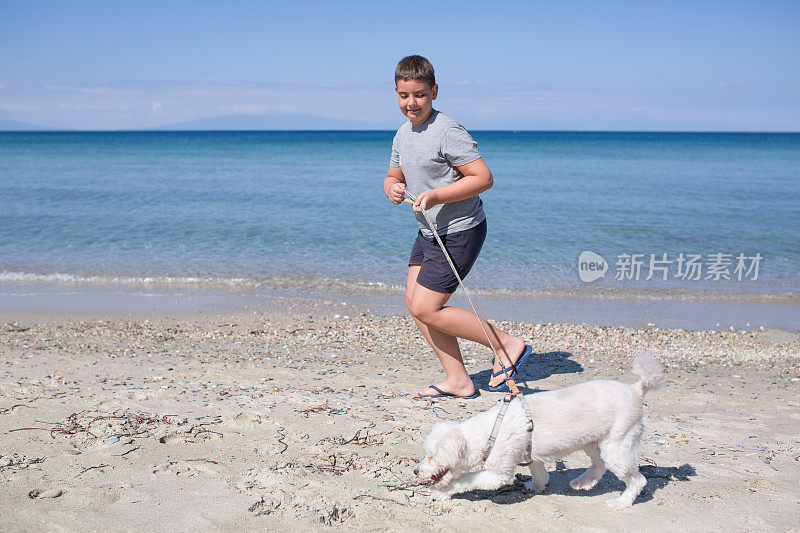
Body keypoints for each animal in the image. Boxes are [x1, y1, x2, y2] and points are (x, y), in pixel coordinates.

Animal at [416, 354, 664, 508]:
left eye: (432, 456)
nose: (416, 471)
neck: (490, 430)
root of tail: (635, 389)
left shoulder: (497, 474)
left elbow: (464, 481)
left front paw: (441, 491)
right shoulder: (531, 456)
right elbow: (539, 474)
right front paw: (535, 487)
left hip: (618, 445)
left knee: (637, 480)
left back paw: (621, 502)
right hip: (594, 442)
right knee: (599, 465)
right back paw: (582, 482)